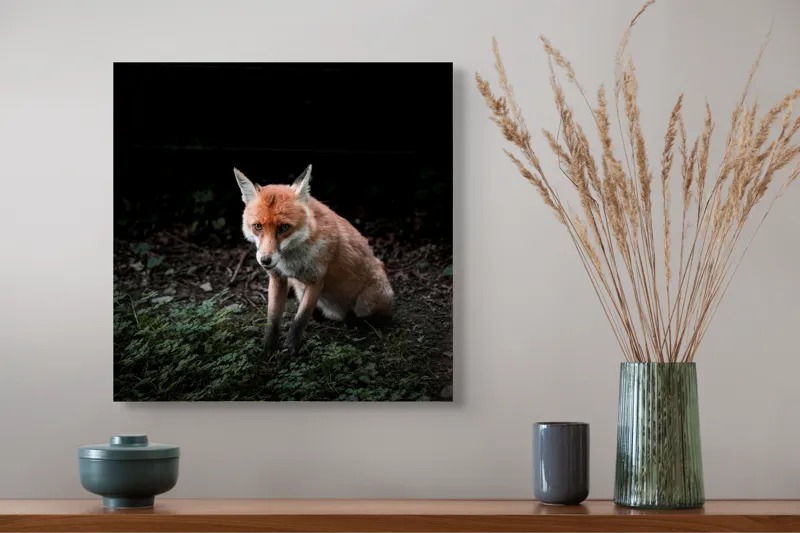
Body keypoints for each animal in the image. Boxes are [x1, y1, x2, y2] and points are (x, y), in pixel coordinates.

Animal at [233, 164, 394, 360]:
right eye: (257, 226)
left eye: (284, 227)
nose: (265, 260)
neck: (291, 262)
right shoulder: (278, 278)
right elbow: (273, 318)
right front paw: (268, 348)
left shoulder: (316, 280)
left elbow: (300, 319)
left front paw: (290, 350)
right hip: (299, 289)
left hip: (368, 301)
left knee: (373, 316)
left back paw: (358, 322)